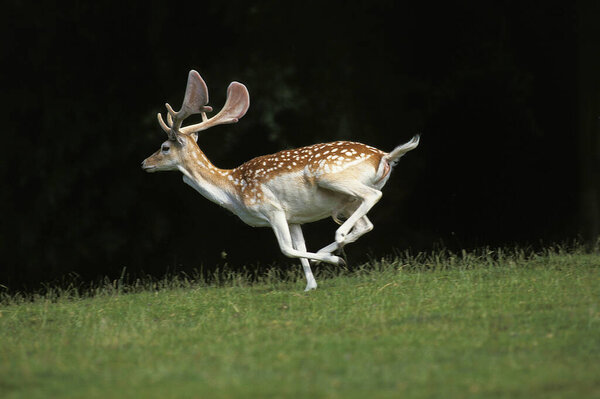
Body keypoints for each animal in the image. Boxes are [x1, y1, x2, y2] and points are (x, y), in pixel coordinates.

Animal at [142, 71, 420, 290]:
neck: (233, 191)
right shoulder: (294, 217)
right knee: (366, 224)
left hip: (332, 177)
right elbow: (299, 249)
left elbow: (286, 249)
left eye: (164, 147)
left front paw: (335, 262)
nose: (144, 163)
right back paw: (330, 249)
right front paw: (311, 286)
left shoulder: (272, 208)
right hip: (346, 201)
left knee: (373, 197)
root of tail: (384, 156)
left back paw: (338, 240)